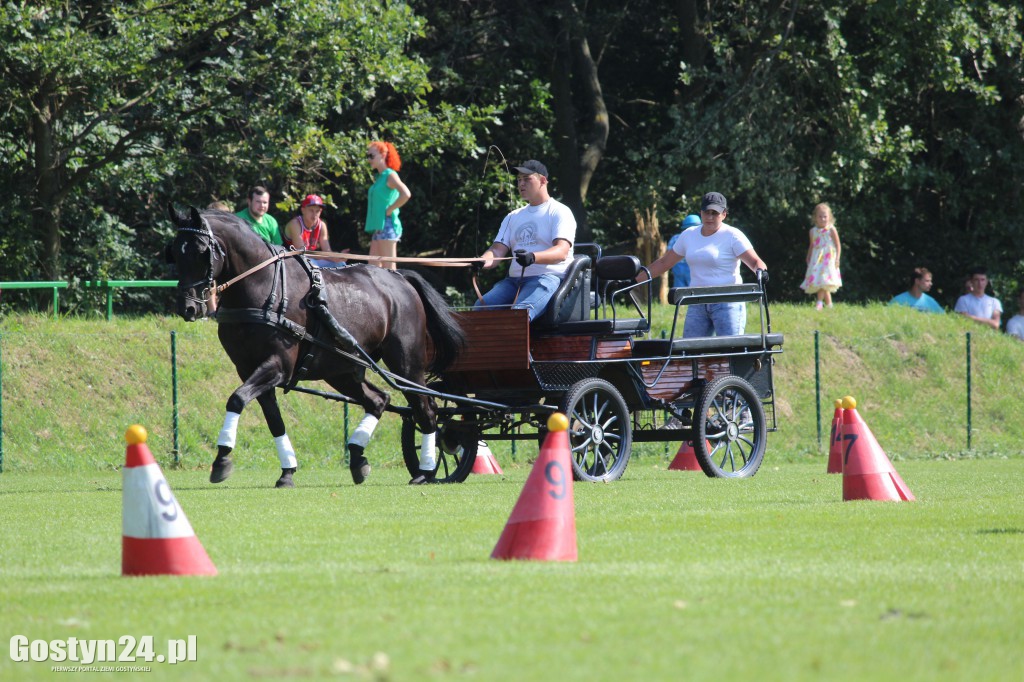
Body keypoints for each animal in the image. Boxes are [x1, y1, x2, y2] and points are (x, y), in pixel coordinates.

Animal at [166, 204, 464, 485]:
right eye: (174, 253)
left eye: (201, 251)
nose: (187, 308)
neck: (260, 287)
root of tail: (400, 278)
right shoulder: (249, 368)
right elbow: (274, 420)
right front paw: (287, 471)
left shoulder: (277, 366)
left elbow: (237, 399)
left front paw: (222, 460)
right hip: (342, 370)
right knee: (379, 400)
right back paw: (358, 458)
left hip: (406, 364)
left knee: (426, 410)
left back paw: (426, 470)